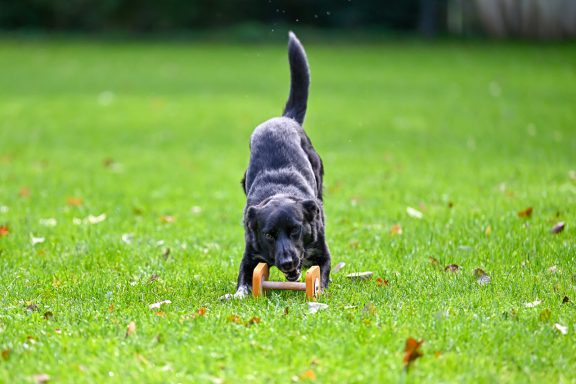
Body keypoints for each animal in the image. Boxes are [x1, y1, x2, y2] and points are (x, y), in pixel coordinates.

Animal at [230, 32, 330, 300]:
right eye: (268, 235)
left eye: (295, 230)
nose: (286, 263)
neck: (280, 192)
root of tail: (284, 119)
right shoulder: (250, 253)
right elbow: (244, 277)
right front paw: (239, 293)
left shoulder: (322, 253)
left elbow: (322, 275)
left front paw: (320, 289)